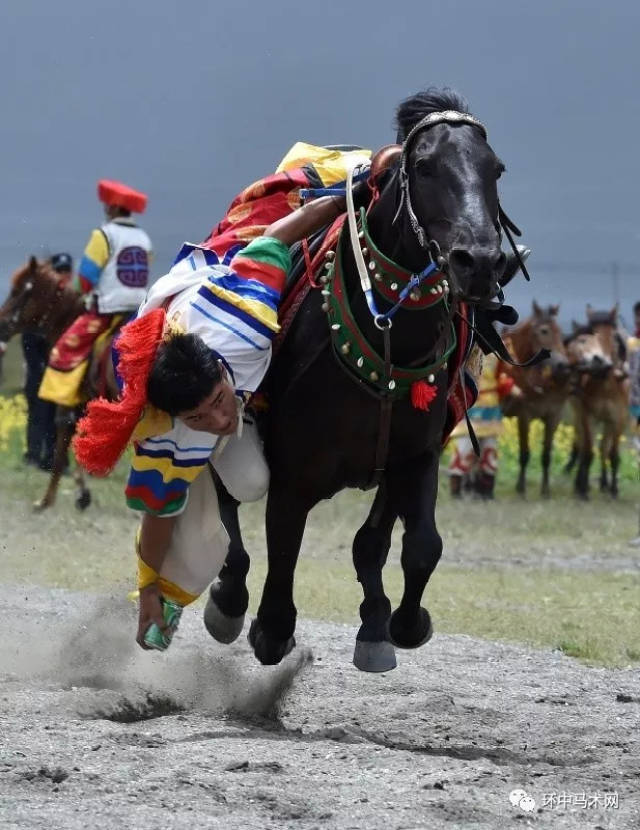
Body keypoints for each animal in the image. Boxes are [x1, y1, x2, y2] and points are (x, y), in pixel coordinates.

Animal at [0, 256, 119, 510]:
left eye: (17, 291)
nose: (1, 324)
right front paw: (82, 493)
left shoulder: (69, 401)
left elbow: (64, 439)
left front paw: (49, 499)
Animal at [206, 89, 536, 676]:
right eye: (425, 166)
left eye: (495, 169)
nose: (479, 262)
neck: (388, 339)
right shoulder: (293, 474)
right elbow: (283, 552)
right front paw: (272, 627)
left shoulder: (414, 456)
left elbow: (413, 545)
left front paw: (392, 624)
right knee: (229, 511)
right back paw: (228, 600)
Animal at [500, 302, 568, 498]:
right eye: (544, 331)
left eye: (560, 331)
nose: (563, 365)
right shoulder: (524, 416)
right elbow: (524, 453)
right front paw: (521, 488)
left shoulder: (554, 416)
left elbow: (546, 455)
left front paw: (545, 491)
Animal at [564, 306, 632, 500]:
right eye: (591, 333)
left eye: (613, 336)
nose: (600, 362)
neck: (606, 385)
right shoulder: (588, 416)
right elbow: (588, 451)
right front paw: (583, 490)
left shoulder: (618, 419)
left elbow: (613, 454)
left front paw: (613, 489)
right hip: (578, 411)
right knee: (583, 445)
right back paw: (580, 482)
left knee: (603, 449)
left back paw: (604, 483)